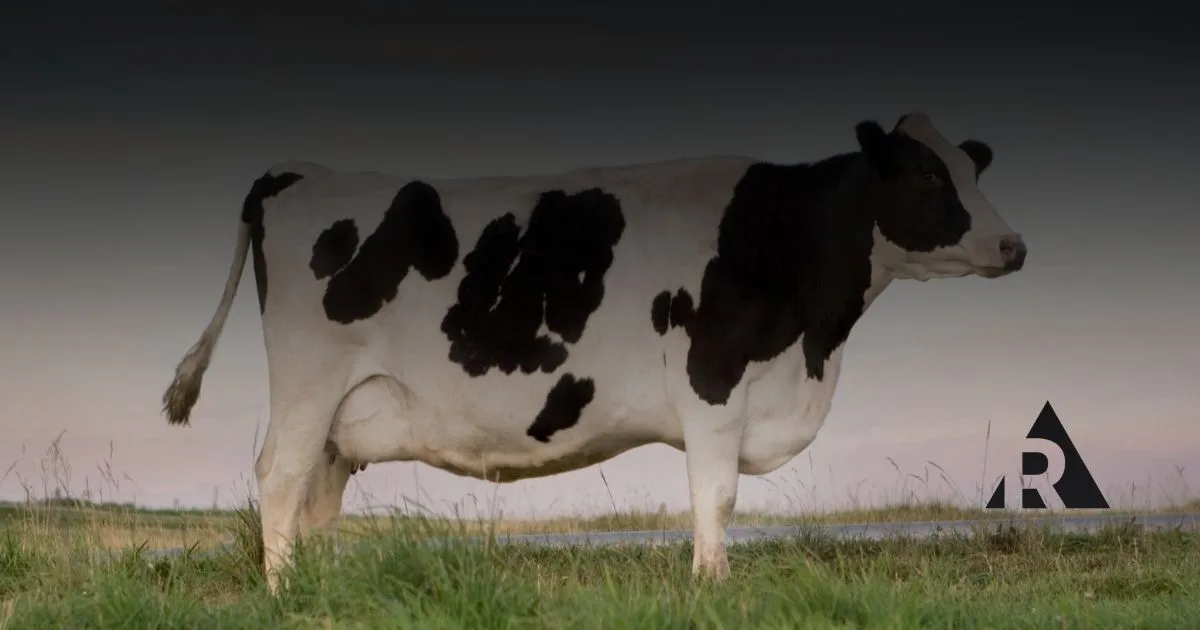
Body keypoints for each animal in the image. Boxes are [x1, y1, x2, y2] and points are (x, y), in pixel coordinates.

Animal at [162, 112, 1026, 592]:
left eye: (971, 167)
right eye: (927, 174)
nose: (1014, 245)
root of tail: (297, 171)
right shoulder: (712, 383)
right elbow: (715, 498)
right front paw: (711, 588)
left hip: (346, 409)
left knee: (316, 494)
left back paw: (318, 585)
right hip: (309, 381)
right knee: (278, 476)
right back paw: (281, 592)